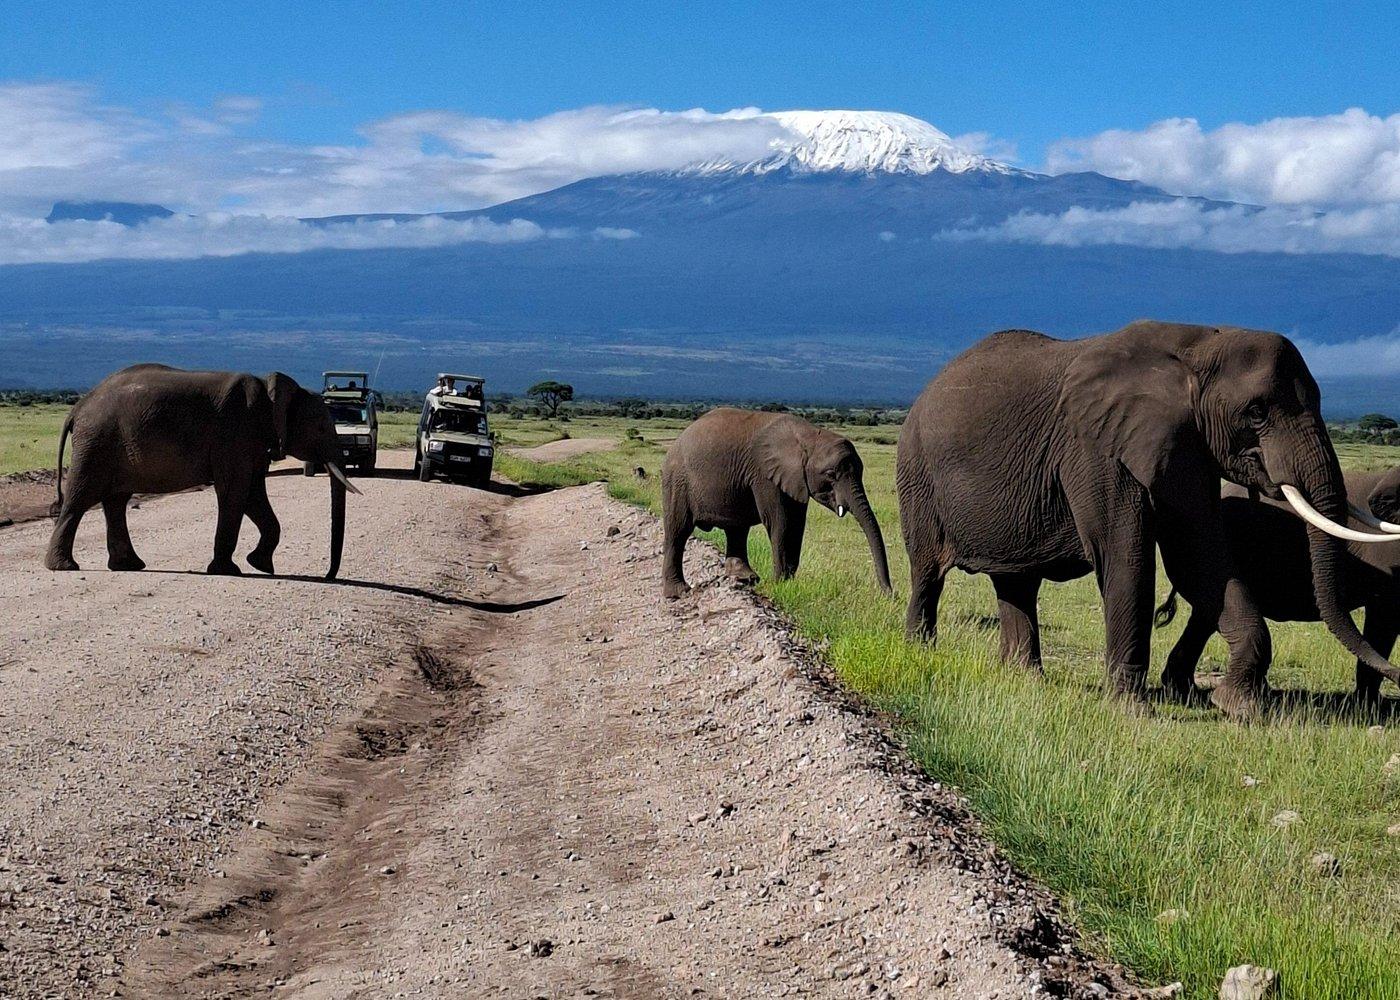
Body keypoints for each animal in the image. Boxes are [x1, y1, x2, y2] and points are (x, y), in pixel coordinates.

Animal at [45, 364, 360, 578]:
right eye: (321, 427)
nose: (328, 576)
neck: (273, 391)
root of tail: (78, 407)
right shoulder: (235, 431)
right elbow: (236, 492)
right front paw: (228, 571)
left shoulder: (252, 441)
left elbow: (253, 495)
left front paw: (261, 565)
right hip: (97, 442)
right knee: (81, 498)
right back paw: (65, 567)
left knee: (116, 501)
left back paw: (128, 566)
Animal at [661, 407, 892, 599]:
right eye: (830, 474)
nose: (889, 594)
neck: (808, 437)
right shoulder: (765, 475)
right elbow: (780, 522)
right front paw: (780, 583)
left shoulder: (795, 479)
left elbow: (797, 525)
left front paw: (789, 583)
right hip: (677, 481)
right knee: (678, 531)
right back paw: (678, 593)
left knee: (737, 530)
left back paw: (746, 579)